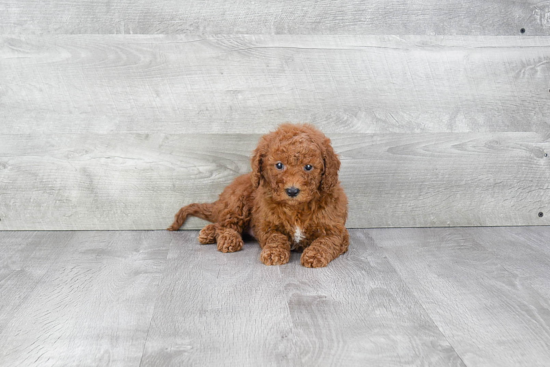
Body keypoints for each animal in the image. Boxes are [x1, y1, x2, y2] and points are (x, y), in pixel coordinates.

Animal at [168, 123, 350, 268]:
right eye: (279, 165)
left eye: (308, 167)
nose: (292, 191)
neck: (296, 208)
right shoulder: (267, 226)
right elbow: (276, 238)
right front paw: (274, 253)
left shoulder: (337, 232)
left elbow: (325, 242)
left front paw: (314, 255)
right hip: (239, 203)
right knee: (226, 225)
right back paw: (227, 239)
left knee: (220, 223)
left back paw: (208, 232)